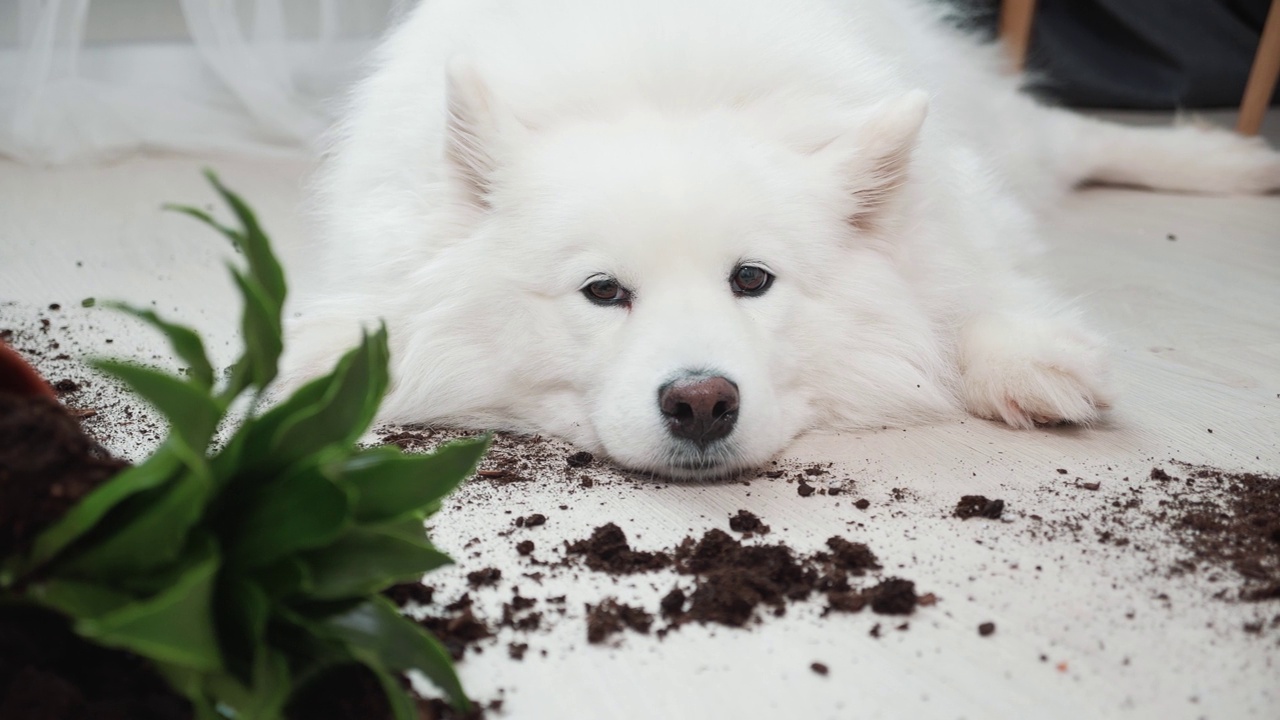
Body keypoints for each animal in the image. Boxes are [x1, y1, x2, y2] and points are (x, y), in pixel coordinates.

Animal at [282, 0, 1280, 479]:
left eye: (752, 280)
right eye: (603, 292)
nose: (701, 404)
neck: (665, 87)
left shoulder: (953, 216)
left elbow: (972, 284)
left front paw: (1028, 358)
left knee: (1073, 138)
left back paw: (1231, 163)